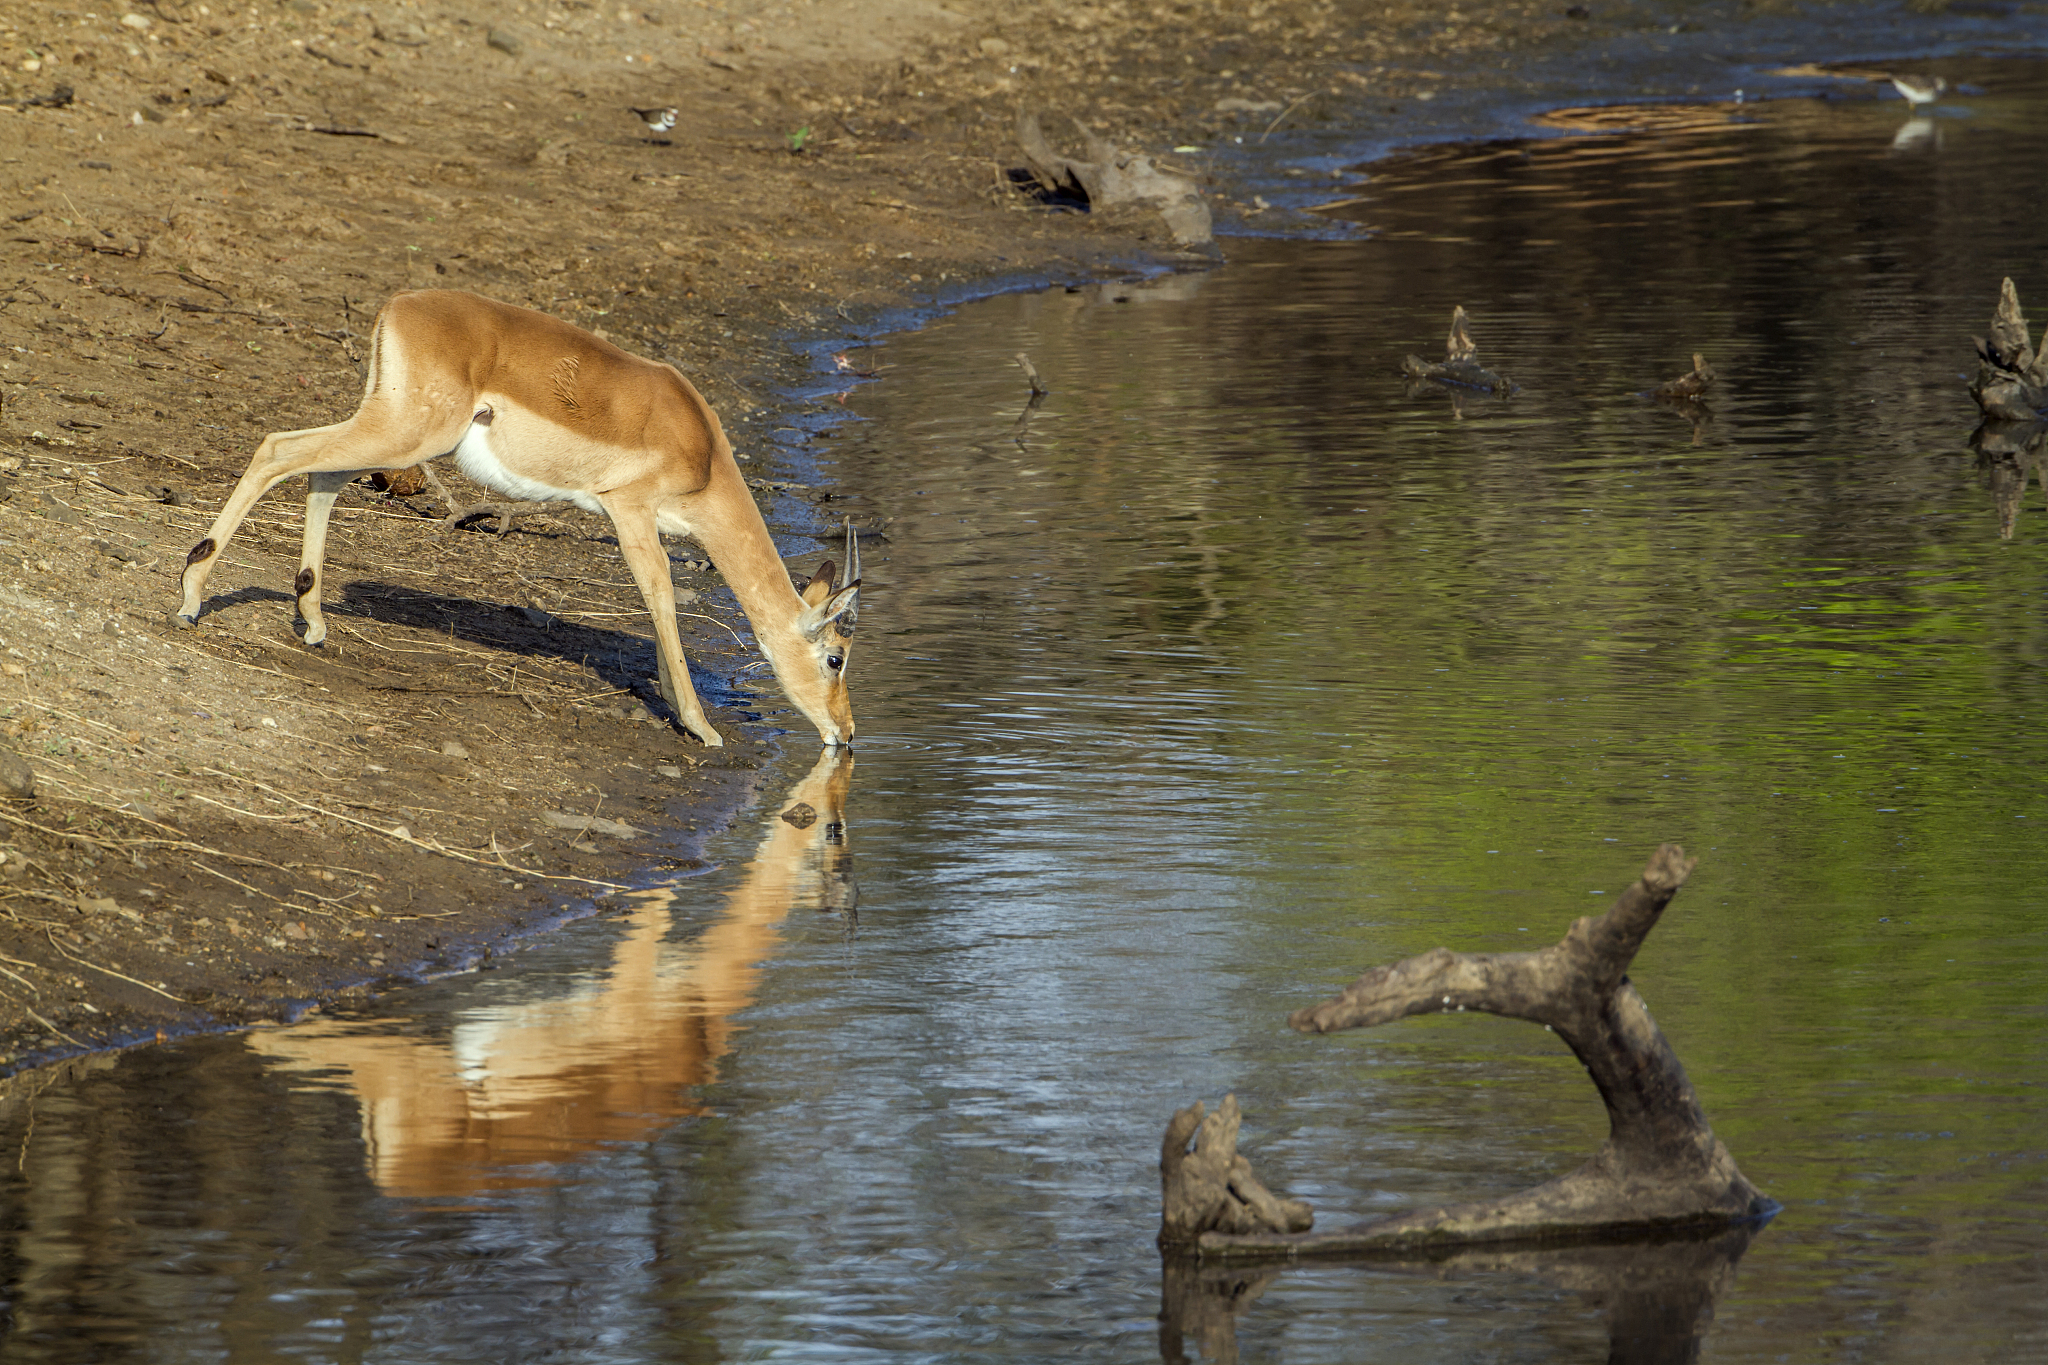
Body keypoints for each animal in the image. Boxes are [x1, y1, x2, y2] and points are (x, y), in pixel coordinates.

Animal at [174, 289, 862, 748]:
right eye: (836, 657)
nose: (847, 732)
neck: (705, 453)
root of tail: (398, 307)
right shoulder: (628, 509)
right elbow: (660, 594)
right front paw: (699, 725)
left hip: (392, 432)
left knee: (320, 475)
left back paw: (313, 621)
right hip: (407, 432)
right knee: (277, 449)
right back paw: (191, 594)